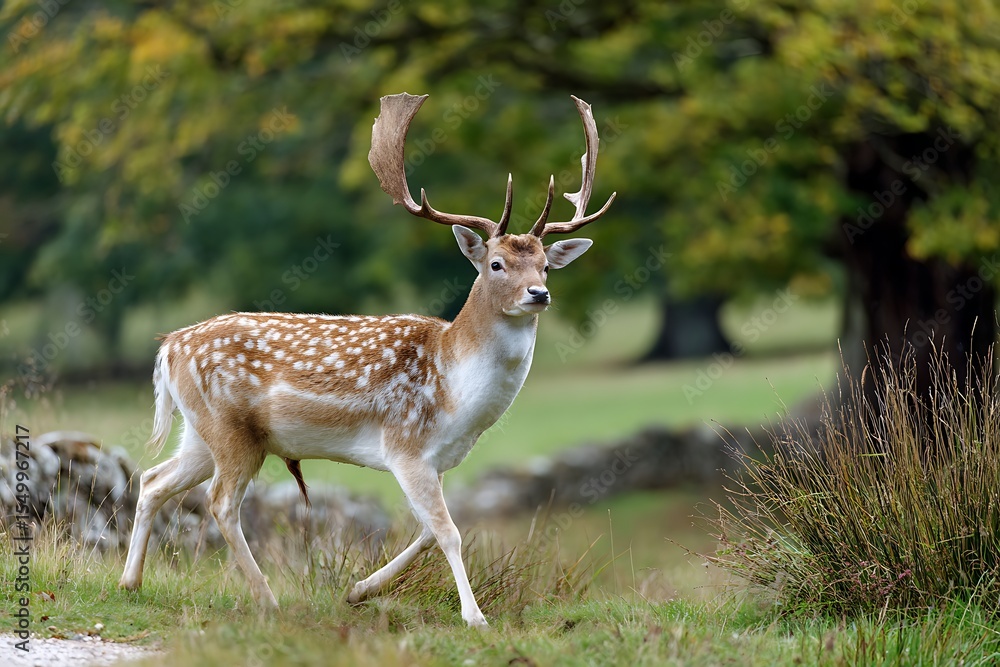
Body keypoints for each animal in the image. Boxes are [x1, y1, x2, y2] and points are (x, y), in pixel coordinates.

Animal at [118, 92, 615, 627]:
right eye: (496, 264)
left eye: (545, 265)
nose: (539, 294)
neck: (454, 390)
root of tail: (169, 345)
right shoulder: (405, 445)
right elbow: (449, 532)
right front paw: (474, 617)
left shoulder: (435, 460)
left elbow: (427, 532)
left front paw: (358, 590)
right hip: (229, 429)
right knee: (221, 503)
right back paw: (267, 599)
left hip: (202, 431)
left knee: (153, 479)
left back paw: (130, 582)